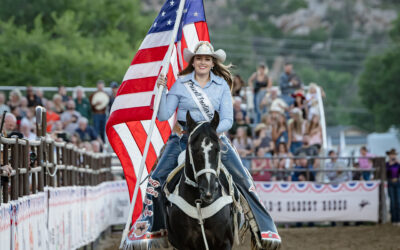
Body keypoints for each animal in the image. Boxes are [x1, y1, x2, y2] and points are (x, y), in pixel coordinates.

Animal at [163, 112, 238, 250]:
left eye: (217, 149)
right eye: (193, 149)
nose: (208, 189)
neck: (199, 205)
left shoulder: (225, 242)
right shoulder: (184, 245)